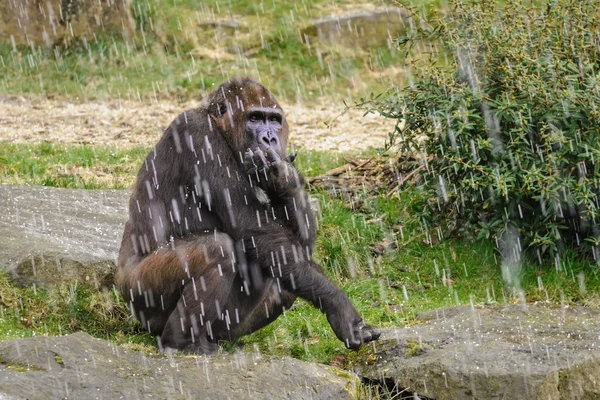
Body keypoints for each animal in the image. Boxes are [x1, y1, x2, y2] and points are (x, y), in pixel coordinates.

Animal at [116, 76, 380, 352]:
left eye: (274, 120)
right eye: (254, 118)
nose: (270, 139)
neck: (220, 127)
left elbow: (294, 246)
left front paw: (285, 179)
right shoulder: (197, 134)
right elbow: (250, 227)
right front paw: (340, 308)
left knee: (285, 281)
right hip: (140, 294)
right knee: (216, 249)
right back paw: (181, 342)